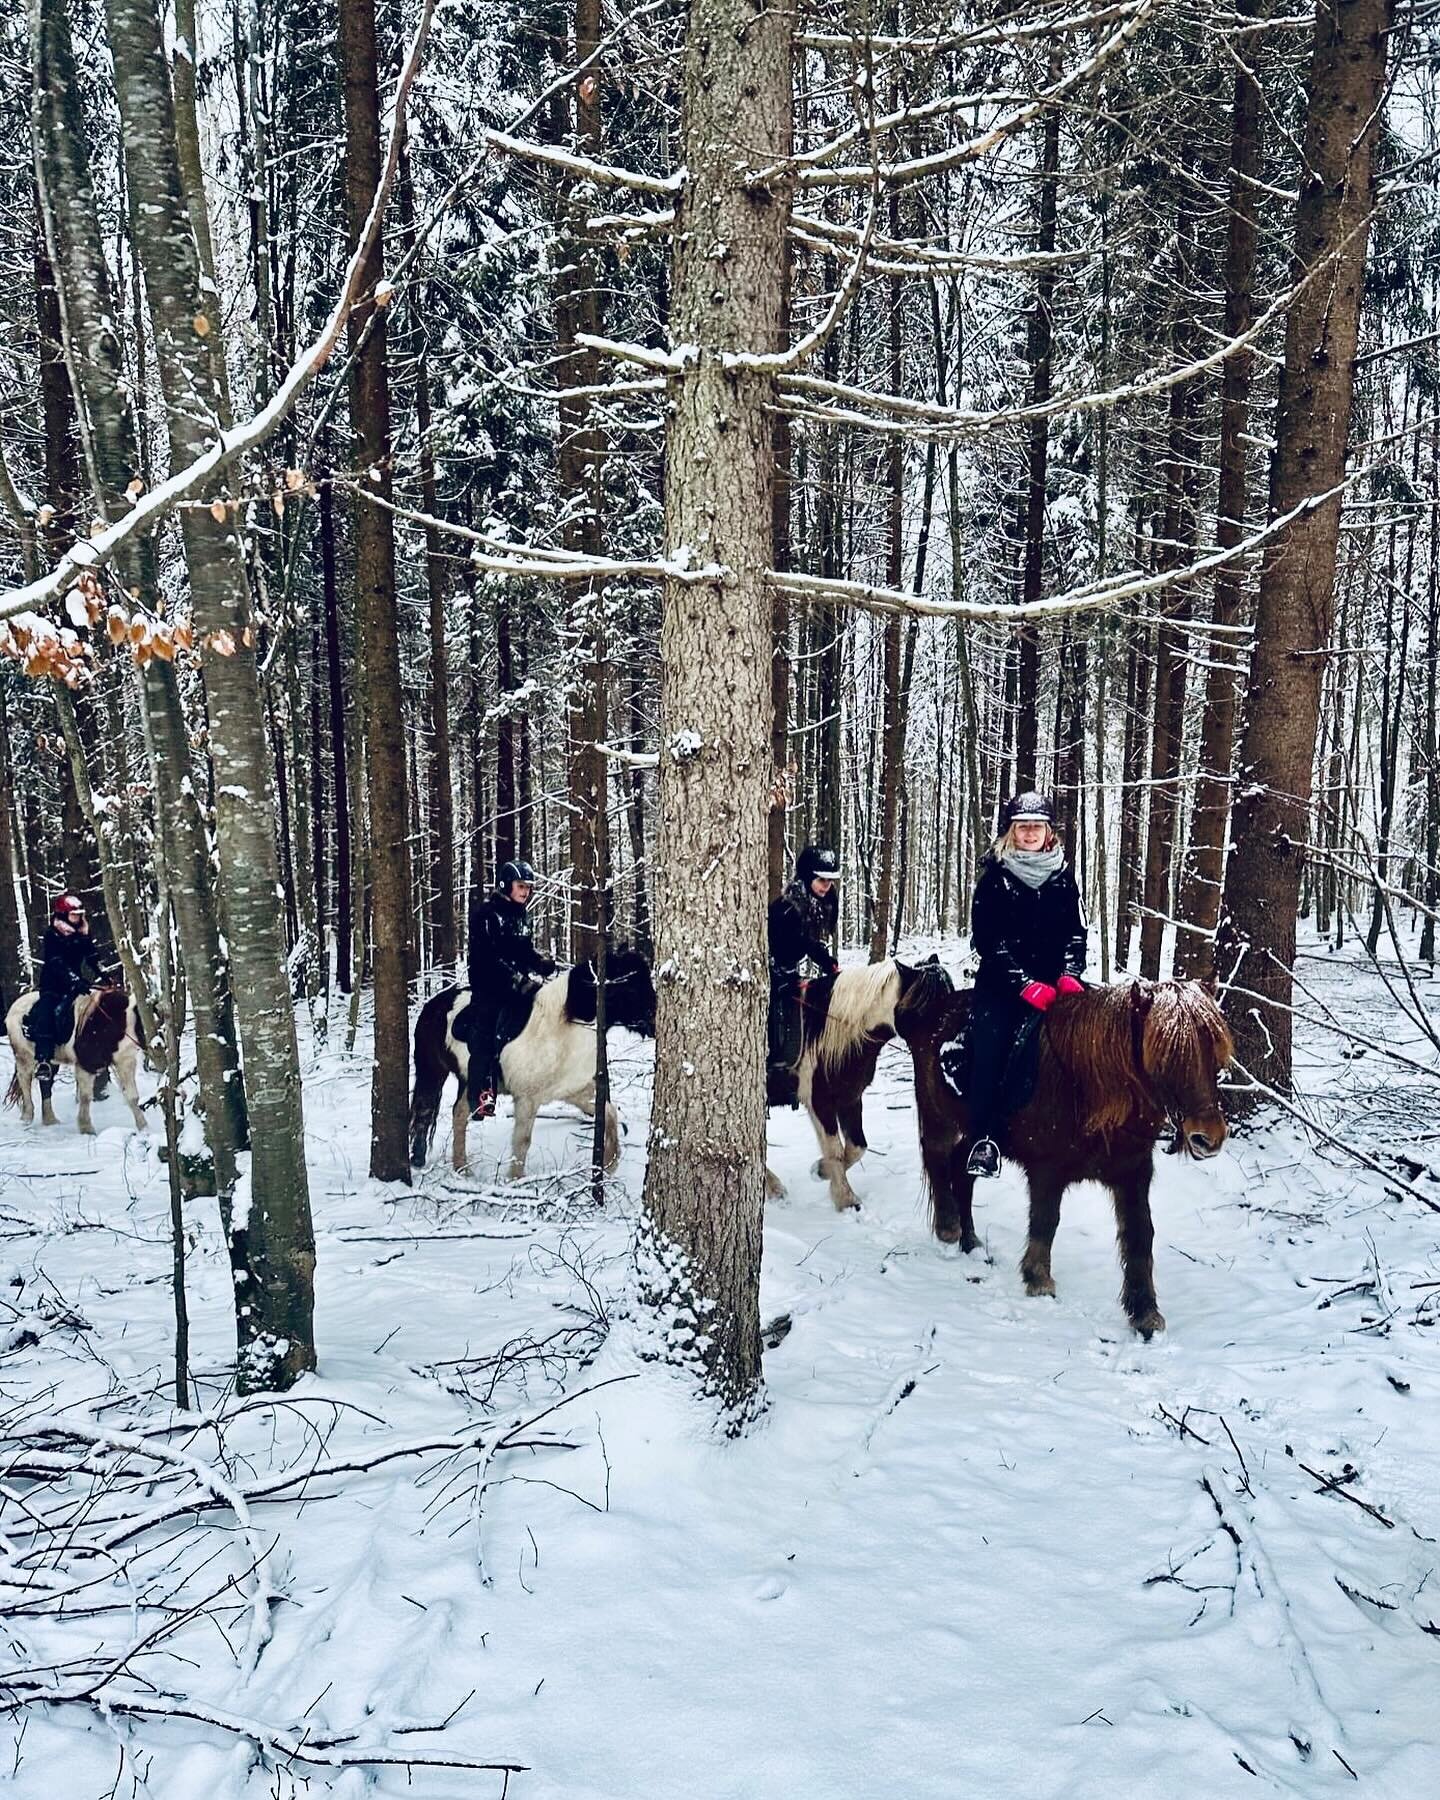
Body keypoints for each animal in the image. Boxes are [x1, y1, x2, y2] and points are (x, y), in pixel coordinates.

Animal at [4, 986, 147, 1137]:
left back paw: (50, 1120)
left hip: (50, 1062)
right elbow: (85, 1097)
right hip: (24, 1057)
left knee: (46, 1085)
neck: (118, 1020)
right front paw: (86, 1128)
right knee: (25, 1082)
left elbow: (132, 1096)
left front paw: (144, 1127)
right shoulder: (86, 1065)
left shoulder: (125, 1062)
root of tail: (14, 1007)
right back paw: (26, 1118)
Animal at [405, 950, 651, 1188]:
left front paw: (609, 1164)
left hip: (468, 1080)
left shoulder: (572, 1092)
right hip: (432, 1070)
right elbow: (522, 1141)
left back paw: (462, 1170)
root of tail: (433, 1004)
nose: (652, 1024)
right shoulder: (526, 1100)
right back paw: (420, 1160)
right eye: (632, 987)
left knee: (459, 1113)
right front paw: (515, 1182)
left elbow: (610, 1112)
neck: (560, 1030)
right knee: (425, 1109)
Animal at [770, 957, 936, 1209]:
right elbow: (835, 1150)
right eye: (929, 1003)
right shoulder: (820, 1102)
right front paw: (845, 1199)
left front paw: (820, 1170)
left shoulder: (850, 1098)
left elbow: (857, 1147)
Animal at [892, 972, 1231, 1339]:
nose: (1208, 1137)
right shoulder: (1047, 1171)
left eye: (1213, 1051)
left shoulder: (1133, 1173)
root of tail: (934, 1010)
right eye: (1165, 1056)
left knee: (961, 1172)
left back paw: (971, 1243)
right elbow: (1045, 1222)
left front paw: (1145, 1314)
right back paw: (948, 1229)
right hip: (939, 1119)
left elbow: (1140, 1235)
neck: (1088, 1090)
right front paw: (1038, 1281)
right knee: (938, 1161)